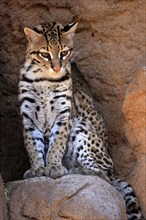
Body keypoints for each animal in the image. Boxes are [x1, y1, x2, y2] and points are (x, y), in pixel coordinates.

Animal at [18, 21, 144, 220]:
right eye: (45, 54)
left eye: (64, 52)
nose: (57, 68)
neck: (45, 79)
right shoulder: (28, 116)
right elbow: (32, 145)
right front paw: (37, 168)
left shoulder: (64, 114)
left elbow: (57, 143)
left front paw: (54, 166)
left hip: (82, 128)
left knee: (107, 176)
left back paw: (79, 171)